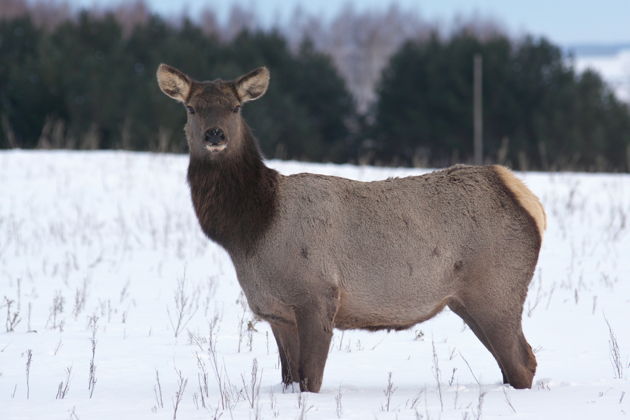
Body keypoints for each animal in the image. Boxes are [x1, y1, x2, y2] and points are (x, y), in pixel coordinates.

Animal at [158, 64, 548, 392]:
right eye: (191, 108)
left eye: (236, 107)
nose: (215, 135)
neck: (251, 230)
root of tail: (526, 199)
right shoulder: (276, 312)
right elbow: (290, 378)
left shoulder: (318, 294)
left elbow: (310, 380)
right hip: (467, 299)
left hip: (496, 288)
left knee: (523, 362)